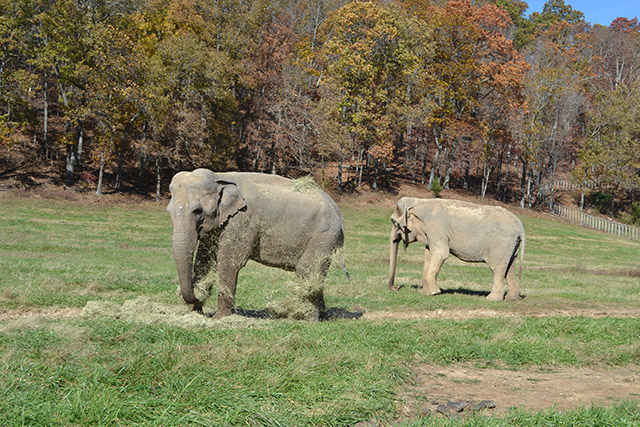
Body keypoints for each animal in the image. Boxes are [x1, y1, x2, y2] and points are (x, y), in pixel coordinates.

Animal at [166, 169, 344, 320]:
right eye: (169, 211)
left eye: (198, 211)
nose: (195, 298)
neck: (220, 177)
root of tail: (337, 210)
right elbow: (204, 260)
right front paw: (195, 313)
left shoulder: (242, 220)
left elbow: (228, 262)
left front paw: (220, 318)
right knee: (315, 275)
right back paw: (322, 317)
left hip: (323, 236)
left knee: (307, 271)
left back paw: (308, 319)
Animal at [388, 197, 524, 300]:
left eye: (394, 222)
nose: (397, 288)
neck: (419, 202)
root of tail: (520, 227)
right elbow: (428, 255)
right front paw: (426, 292)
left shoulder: (436, 228)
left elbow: (441, 254)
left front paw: (434, 293)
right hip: (511, 247)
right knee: (509, 269)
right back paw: (512, 298)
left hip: (501, 245)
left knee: (498, 269)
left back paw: (492, 298)